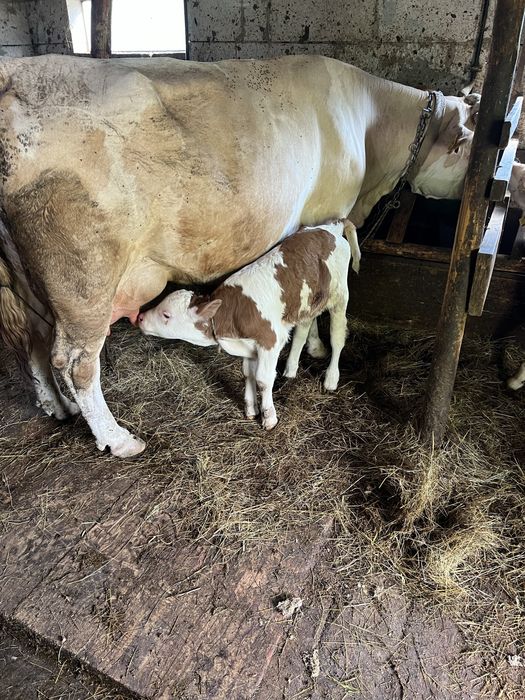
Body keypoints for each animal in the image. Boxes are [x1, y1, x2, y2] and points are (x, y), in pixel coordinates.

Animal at [138, 220, 360, 429]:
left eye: (166, 315)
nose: (140, 317)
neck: (230, 315)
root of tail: (331, 226)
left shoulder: (269, 341)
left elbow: (263, 379)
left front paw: (269, 417)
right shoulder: (248, 346)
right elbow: (248, 374)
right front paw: (251, 409)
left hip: (340, 297)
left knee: (337, 336)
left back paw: (331, 379)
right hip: (307, 302)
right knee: (302, 331)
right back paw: (291, 370)